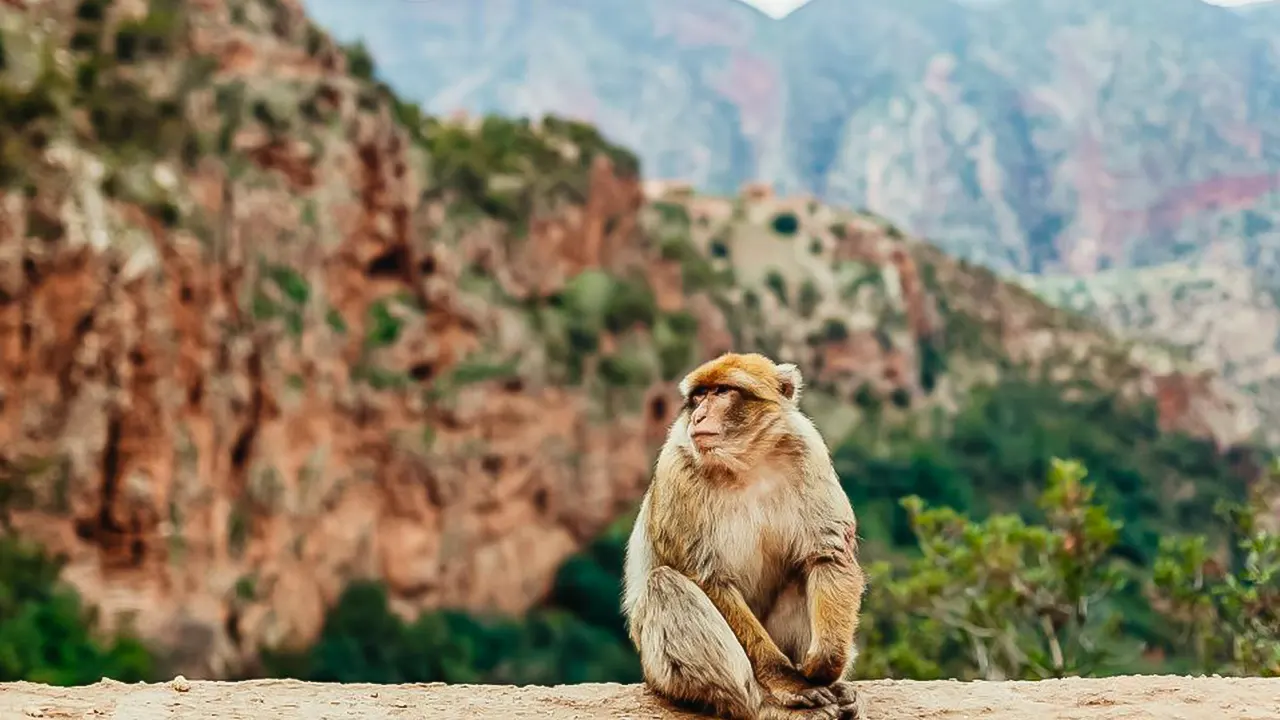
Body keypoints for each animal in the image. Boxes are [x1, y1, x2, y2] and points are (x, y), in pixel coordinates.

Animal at [622, 353, 865, 717]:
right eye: (698, 396)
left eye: (721, 391)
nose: (698, 415)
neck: (746, 463)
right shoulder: (676, 469)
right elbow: (709, 578)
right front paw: (790, 683)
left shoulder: (808, 450)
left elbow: (826, 555)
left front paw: (825, 664)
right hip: (660, 674)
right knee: (664, 585)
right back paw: (766, 704)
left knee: (800, 575)